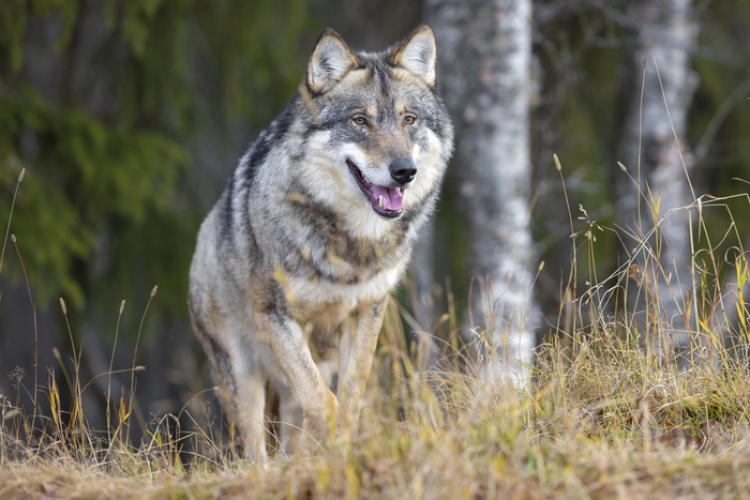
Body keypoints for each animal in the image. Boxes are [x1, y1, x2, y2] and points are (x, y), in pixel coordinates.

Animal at [188, 25, 453, 462]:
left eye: (409, 119)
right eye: (360, 120)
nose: (405, 172)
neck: (349, 246)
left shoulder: (366, 313)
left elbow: (349, 398)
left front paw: (340, 449)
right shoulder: (276, 316)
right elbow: (323, 400)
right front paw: (328, 446)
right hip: (243, 376)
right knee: (255, 449)